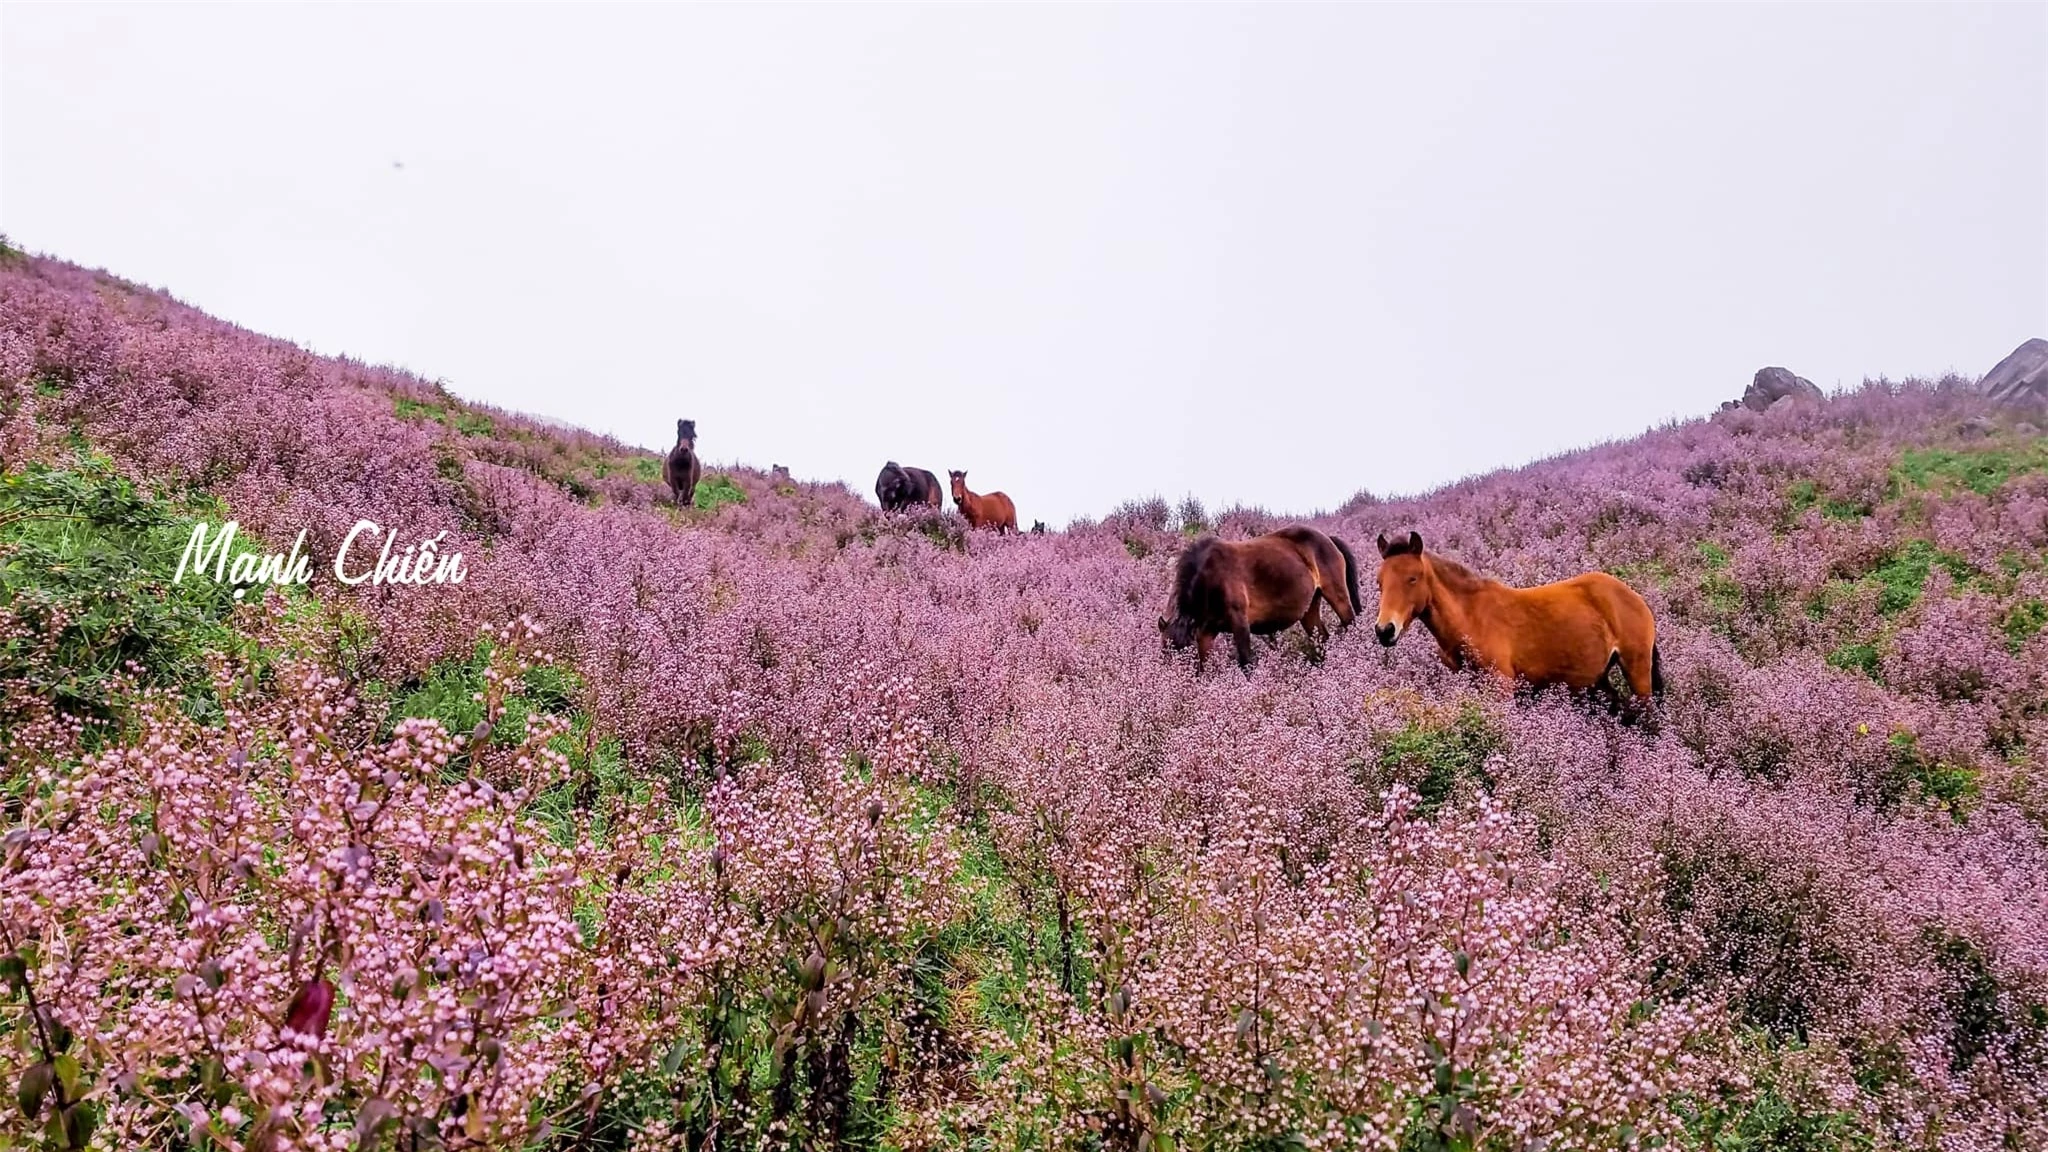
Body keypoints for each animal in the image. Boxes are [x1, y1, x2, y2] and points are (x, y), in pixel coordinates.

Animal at [1163, 522, 1368, 672]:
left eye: (1186, 652)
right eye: (1165, 652)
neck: (1210, 576)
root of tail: (1328, 539)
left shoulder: (1239, 622)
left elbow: (1246, 661)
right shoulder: (1207, 631)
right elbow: (1204, 665)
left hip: (1337, 595)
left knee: (1349, 623)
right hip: (1309, 609)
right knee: (1321, 639)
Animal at [1376, 528, 1662, 701]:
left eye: (1413, 578)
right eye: (1379, 582)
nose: (1385, 630)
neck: (1470, 617)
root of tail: (1632, 595)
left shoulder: (1502, 685)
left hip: (1637, 671)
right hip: (1599, 679)